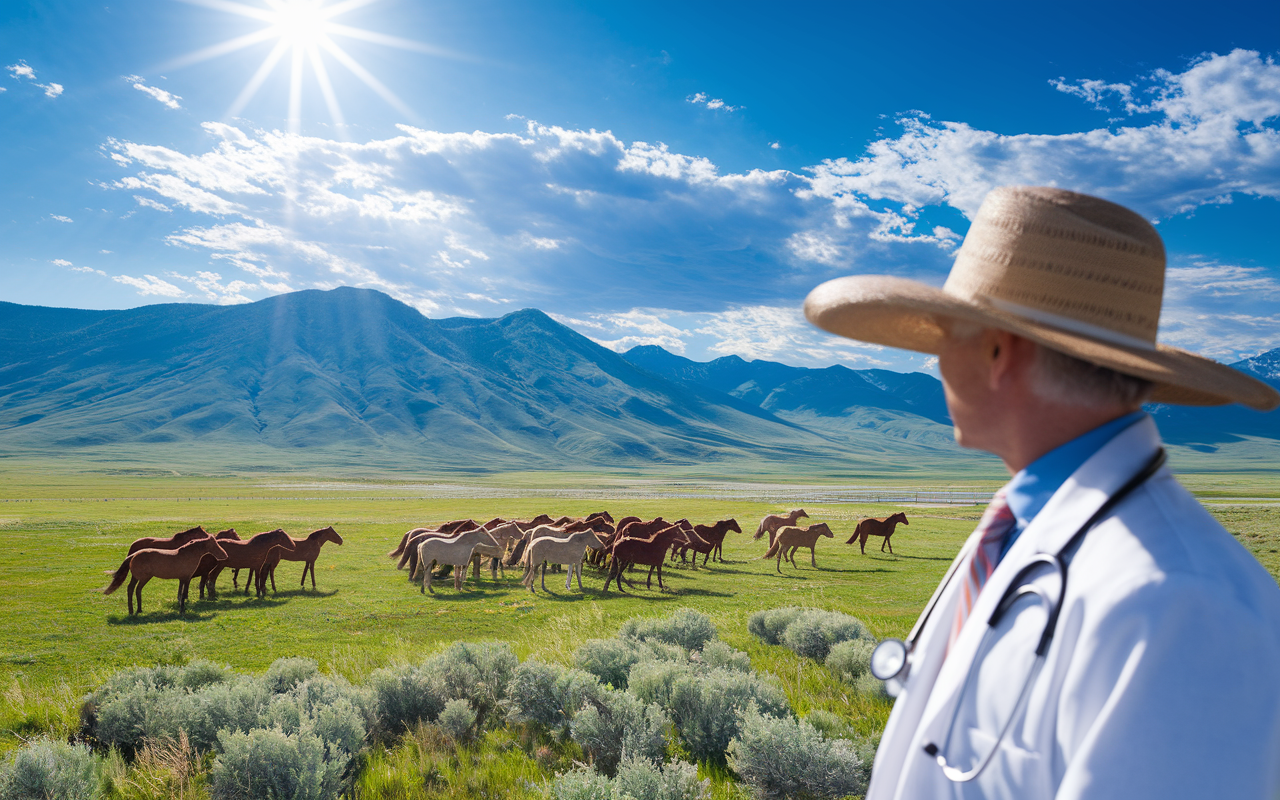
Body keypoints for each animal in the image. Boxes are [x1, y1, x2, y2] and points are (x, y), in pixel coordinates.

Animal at [102, 532, 230, 614]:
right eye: (215, 545)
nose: (225, 555)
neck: (188, 554)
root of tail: (134, 555)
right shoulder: (186, 578)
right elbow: (183, 593)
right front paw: (182, 609)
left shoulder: (182, 578)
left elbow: (180, 593)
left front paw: (181, 606)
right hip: (143, 578)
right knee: (135, 589)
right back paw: (135, 610)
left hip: (137, 577)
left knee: (133, 589)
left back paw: (135, 610)